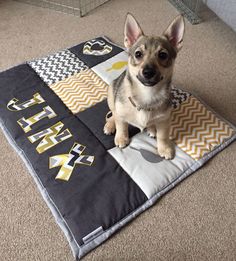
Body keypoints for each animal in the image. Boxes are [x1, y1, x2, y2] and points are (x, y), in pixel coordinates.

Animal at [104, 13, 185, 160]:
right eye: (138, 54)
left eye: (163, 55)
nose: (148, 72)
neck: (147, 93)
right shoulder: (121, 114)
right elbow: (121, 126)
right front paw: (121, 138)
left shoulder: (165, 120)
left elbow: (163, 136)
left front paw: (164, 148)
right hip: (111, 94)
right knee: (113, 113)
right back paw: (110, 125)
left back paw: (152, 128)